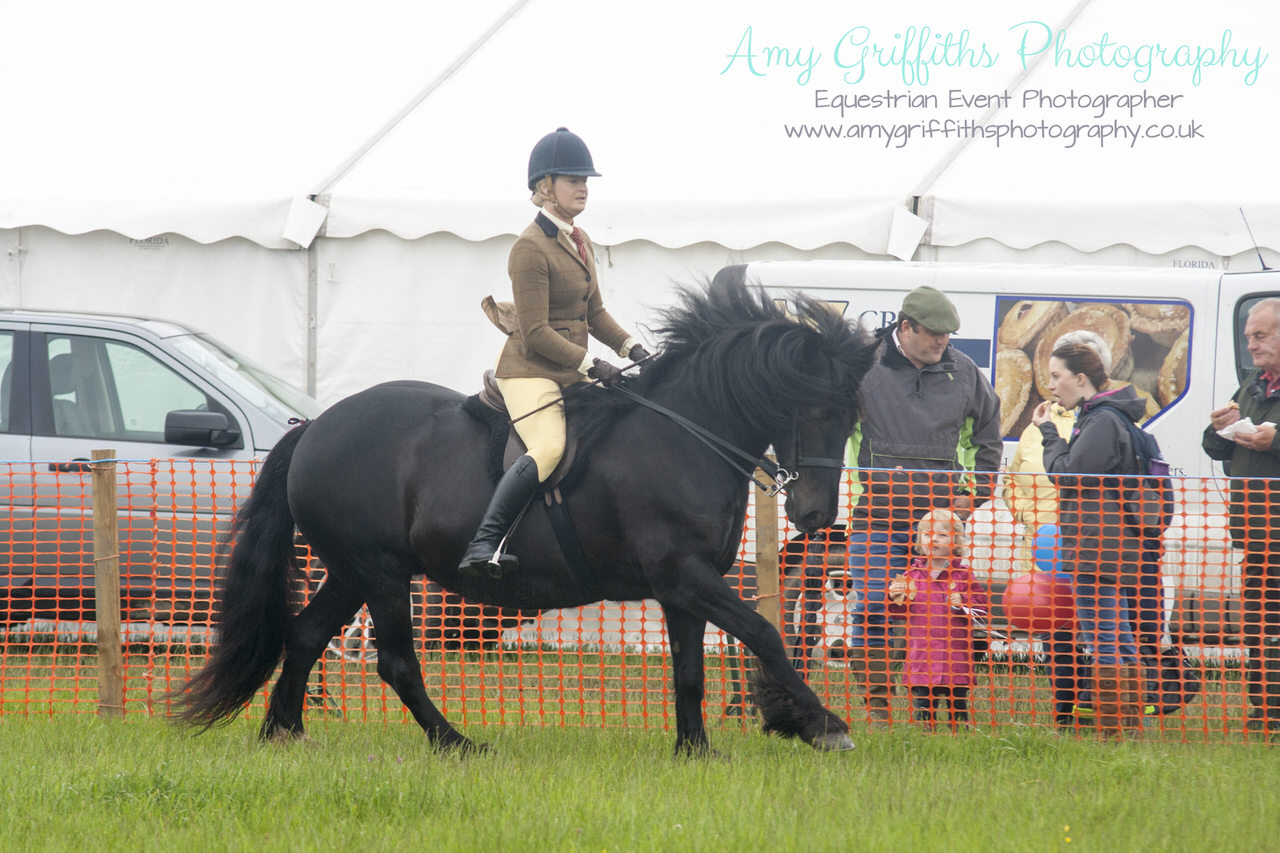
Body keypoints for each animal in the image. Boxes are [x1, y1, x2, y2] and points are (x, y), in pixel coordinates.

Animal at [170, 277, 880, 753]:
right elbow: (764, 634)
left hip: (351, 573)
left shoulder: (683, 584)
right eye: (815, 408)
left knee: (305, 636)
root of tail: (314, 426)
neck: (685, 436)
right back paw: (455, 743)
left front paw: (697, 751)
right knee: (394, 661)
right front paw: (822, 725)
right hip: (381, 574)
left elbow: (690, 670)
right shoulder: (685, 575)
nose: (816, 515)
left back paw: (283, 734)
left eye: (853, 414)